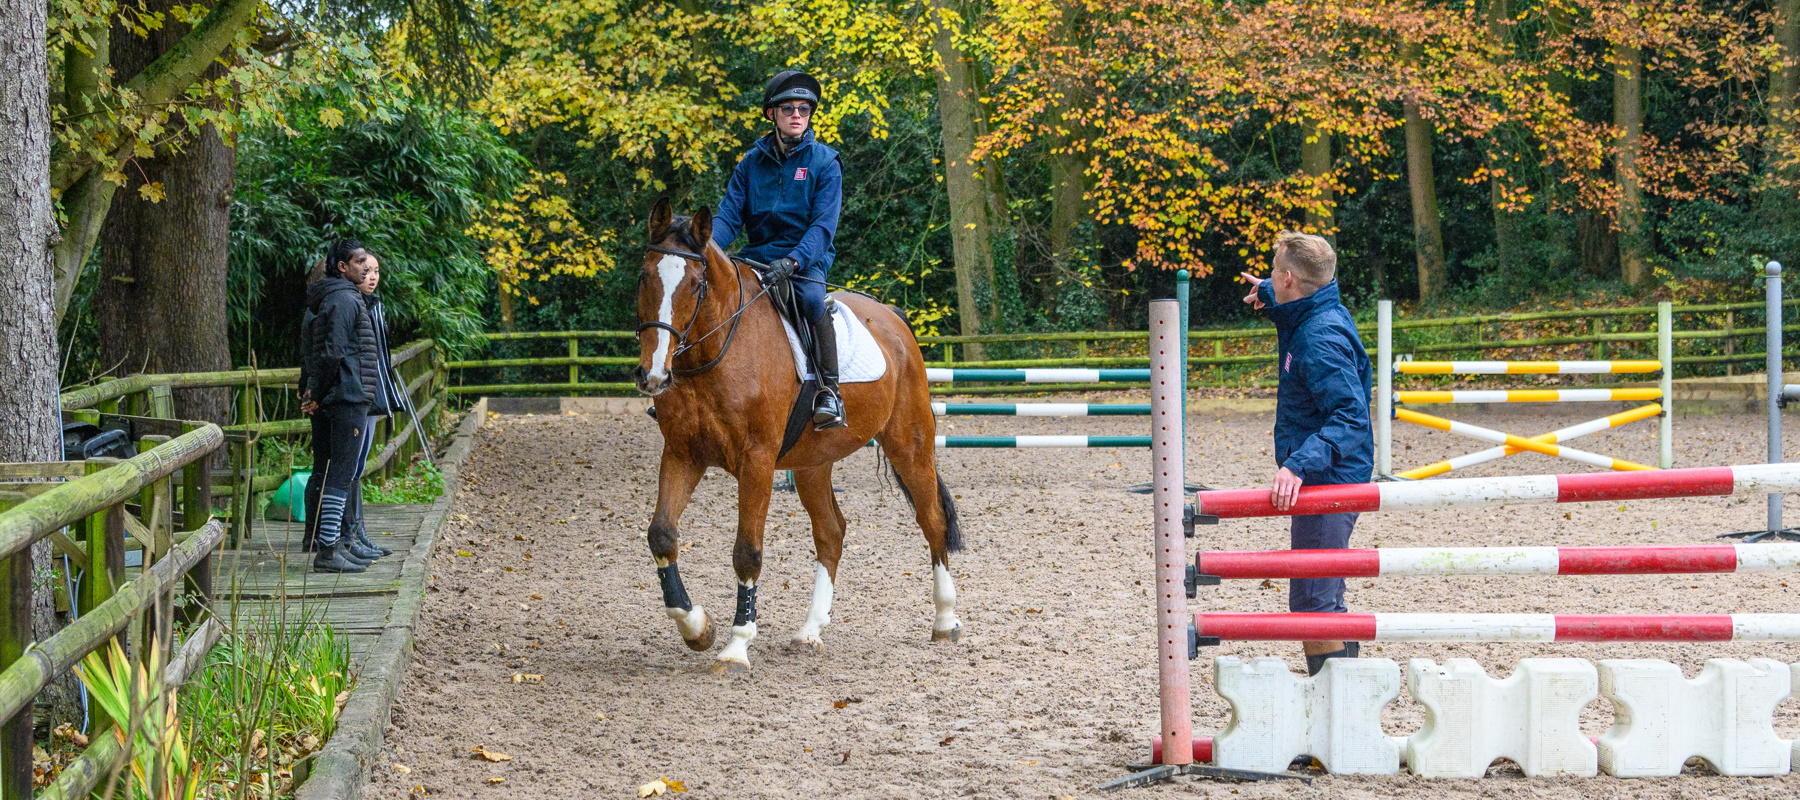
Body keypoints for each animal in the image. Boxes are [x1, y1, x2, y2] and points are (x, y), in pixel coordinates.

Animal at [637, 197, 964, 670]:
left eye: (696, 285)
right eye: (644, 276)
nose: (654, 374)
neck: (716, 352)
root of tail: (893, 319)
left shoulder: (756, 460)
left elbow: (747, 551)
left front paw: (736, 646)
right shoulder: (682, 453)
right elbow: (662, 533)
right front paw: (697, 628)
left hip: (911, 443)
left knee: (931, 519)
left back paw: (945, 620)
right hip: (813, 463)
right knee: (831, 532)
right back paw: (811, 630)